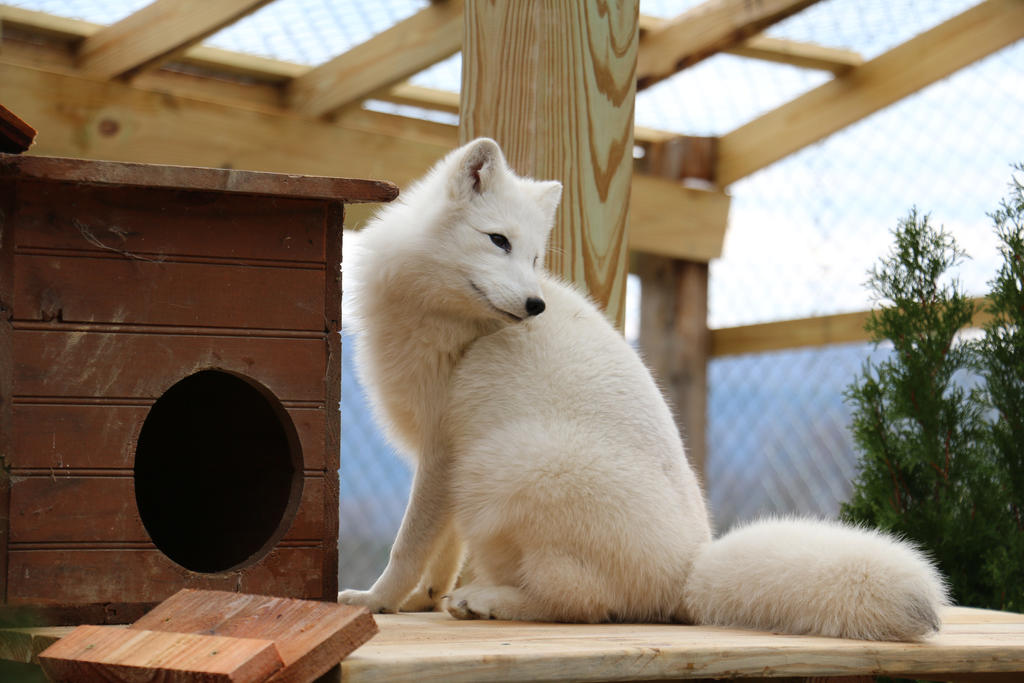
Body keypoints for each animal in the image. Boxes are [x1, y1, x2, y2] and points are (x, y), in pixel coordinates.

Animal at [338, 137, 948, 641]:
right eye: (498, 242)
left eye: (533, 256)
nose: (536, 305)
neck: (445, 324)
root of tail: (688, 573)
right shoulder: (440, 458)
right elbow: (442, 550)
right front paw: (422, 600)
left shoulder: (444, 451)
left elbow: (409, 543)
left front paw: (377, 600)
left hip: (515, 464)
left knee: (582, 604)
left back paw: (488, 601)